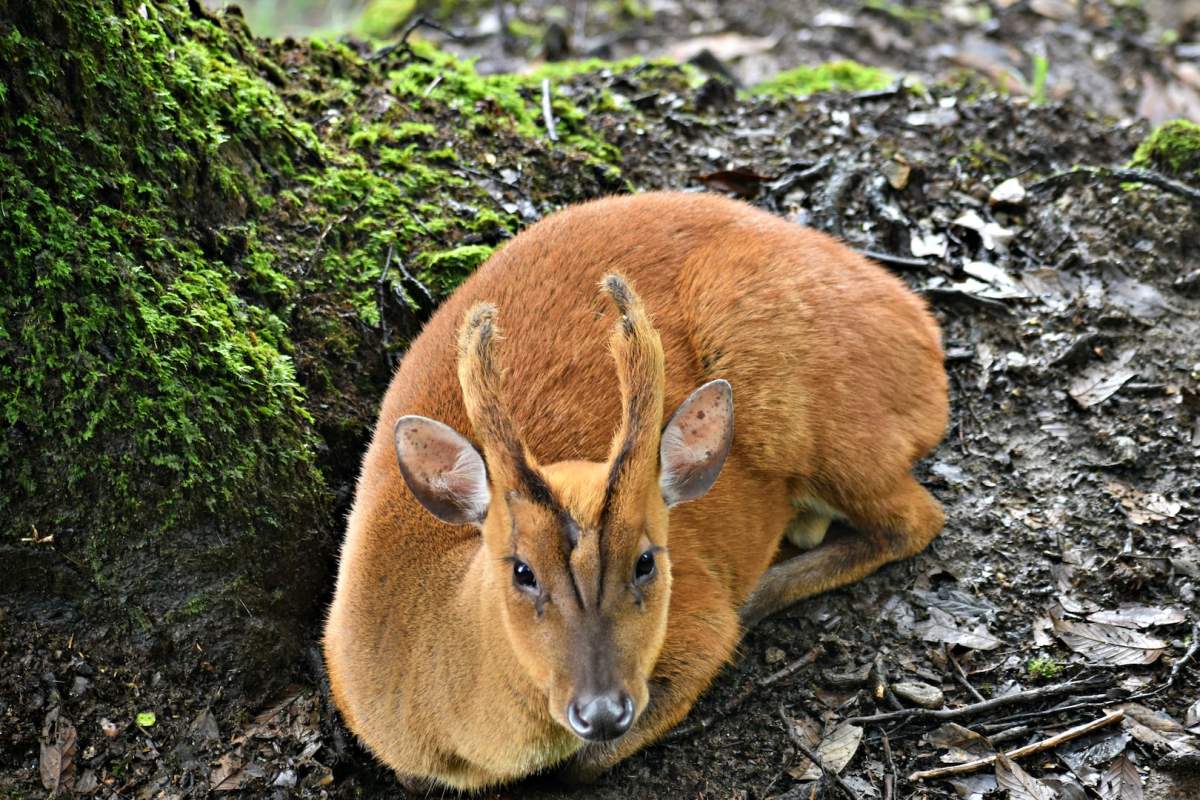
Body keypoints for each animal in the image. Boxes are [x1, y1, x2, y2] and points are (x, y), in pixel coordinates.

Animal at [324, 190, 950, 791]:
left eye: (647, 560)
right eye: (522, 570)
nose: (601, 709)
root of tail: (923, 327)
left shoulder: (700, 626)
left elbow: (585, 764)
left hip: (820, 418)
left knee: (917, 518)